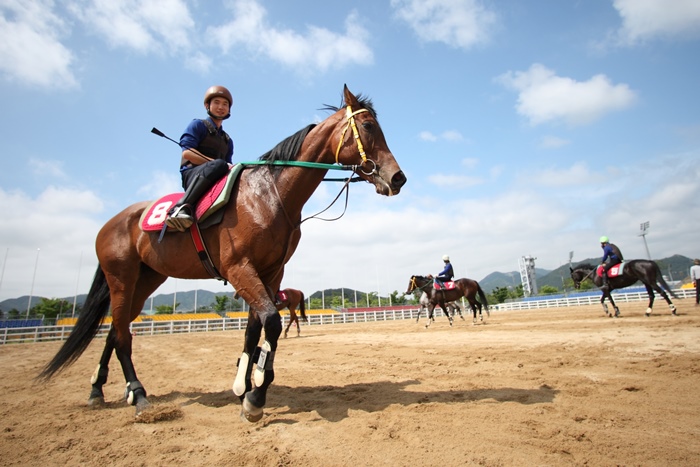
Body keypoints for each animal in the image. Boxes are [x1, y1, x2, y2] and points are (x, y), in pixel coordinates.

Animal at [38, 85, 406, 423]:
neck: (269, 195)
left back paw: (99, 390)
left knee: (117, 330)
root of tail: (110, 222)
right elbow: (271, 324)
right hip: (121, 278)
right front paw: (256, 396)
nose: (397, 178)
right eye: (369, 126)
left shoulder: (271, 273)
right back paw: (139, 396)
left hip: (146, 281)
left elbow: (254, 331)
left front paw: (245, 386)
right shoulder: (239, 269)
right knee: (121, 335)